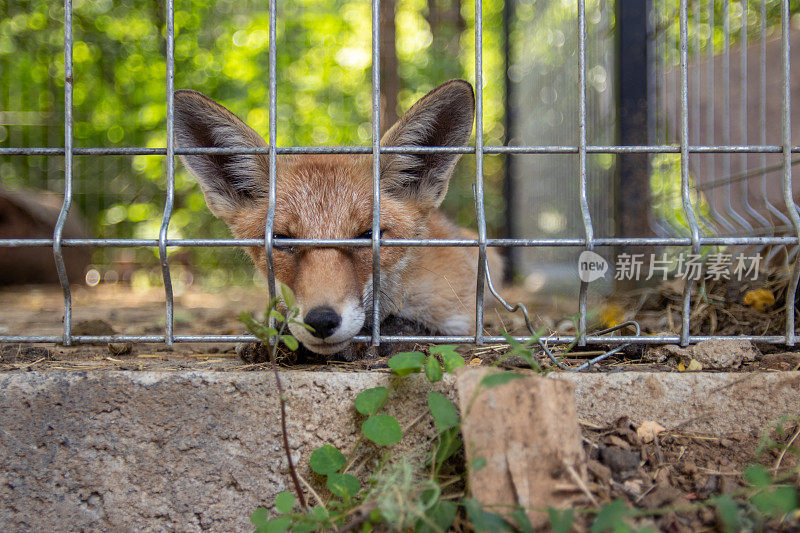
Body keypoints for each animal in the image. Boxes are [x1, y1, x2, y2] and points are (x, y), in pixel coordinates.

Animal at [174, 79, 500, 360]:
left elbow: (417, 327)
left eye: (368, 236)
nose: (320, 321)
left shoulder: (460, 309)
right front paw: (271, 334)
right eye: (281, 239)